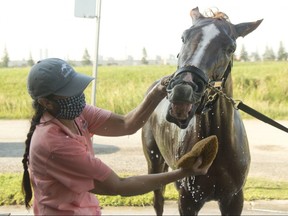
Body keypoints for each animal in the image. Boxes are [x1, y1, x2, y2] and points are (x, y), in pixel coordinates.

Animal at [142, 7, 264, 215]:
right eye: (183, 37)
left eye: (231, 48)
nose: (182, 93)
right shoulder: (188, 201)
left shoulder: (233, 200)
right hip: (154, 164)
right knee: (158, 202)